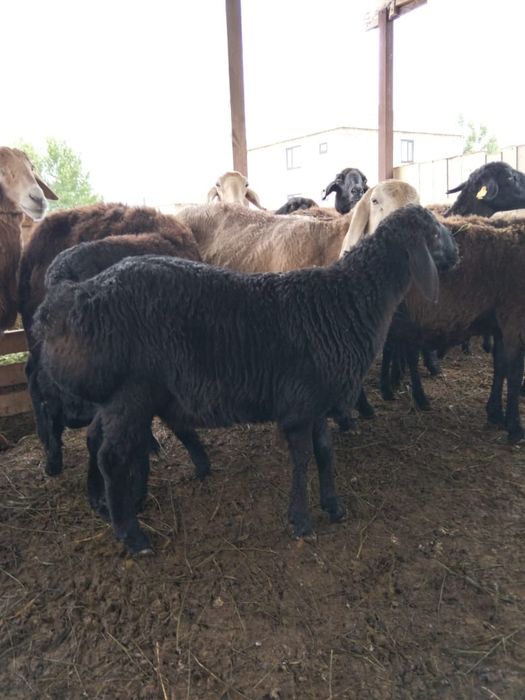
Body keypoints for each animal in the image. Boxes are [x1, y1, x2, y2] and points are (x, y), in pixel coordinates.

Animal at [34, 204, 459, 554]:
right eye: (434, 232)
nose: (457, 253)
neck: (346, 302)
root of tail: (70, 299)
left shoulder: (317, 400)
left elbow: (325, 452)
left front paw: (333, 506)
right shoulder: (299, 405)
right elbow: (302, 459)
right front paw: (301, 520)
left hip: (115, 398)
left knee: (96, 439)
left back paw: (102, 503)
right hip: (131, 393)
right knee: (112, 455)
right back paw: (132, 535)